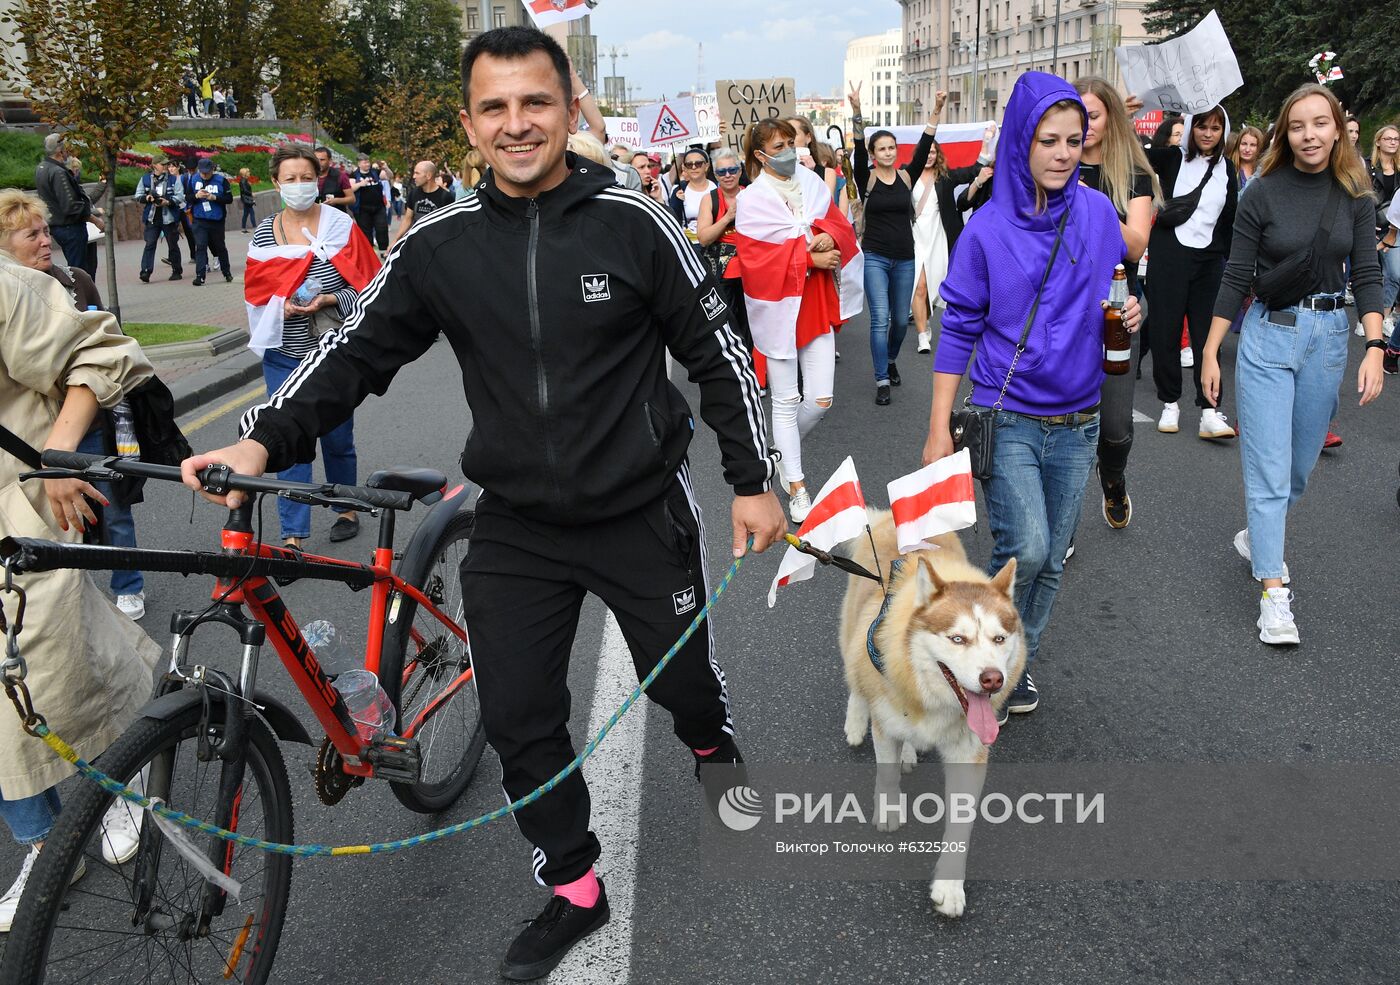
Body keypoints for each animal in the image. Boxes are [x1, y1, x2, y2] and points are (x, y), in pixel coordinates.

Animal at [834, 512, 1024, 917]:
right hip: (853, 633)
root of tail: (885, 518)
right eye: (958, 639)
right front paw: (889, 812)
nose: (993, 679)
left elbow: (961, 823)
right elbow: (887, 774)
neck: (934, 701)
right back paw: (855, 720)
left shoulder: (970, 751)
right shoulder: (886, 722)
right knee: (855, 675)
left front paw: (950, 887)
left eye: (999, 639)